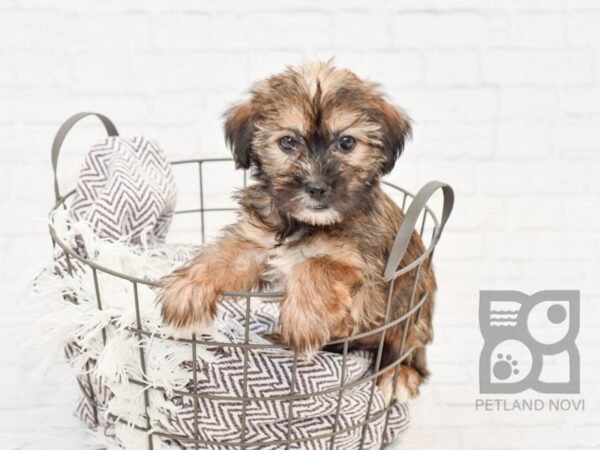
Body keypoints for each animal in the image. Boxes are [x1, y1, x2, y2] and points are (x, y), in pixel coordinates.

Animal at [161, 61, 436, 402]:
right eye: (288, 142)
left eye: (346, 142)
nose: (316, 187)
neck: (305, 224)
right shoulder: (257, 243)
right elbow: (223, 255)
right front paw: (185, 290)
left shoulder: (366, 276)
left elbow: (316, 264)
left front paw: (303, 321)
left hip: (414, 309)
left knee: (408, 344)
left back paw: (400, 374)